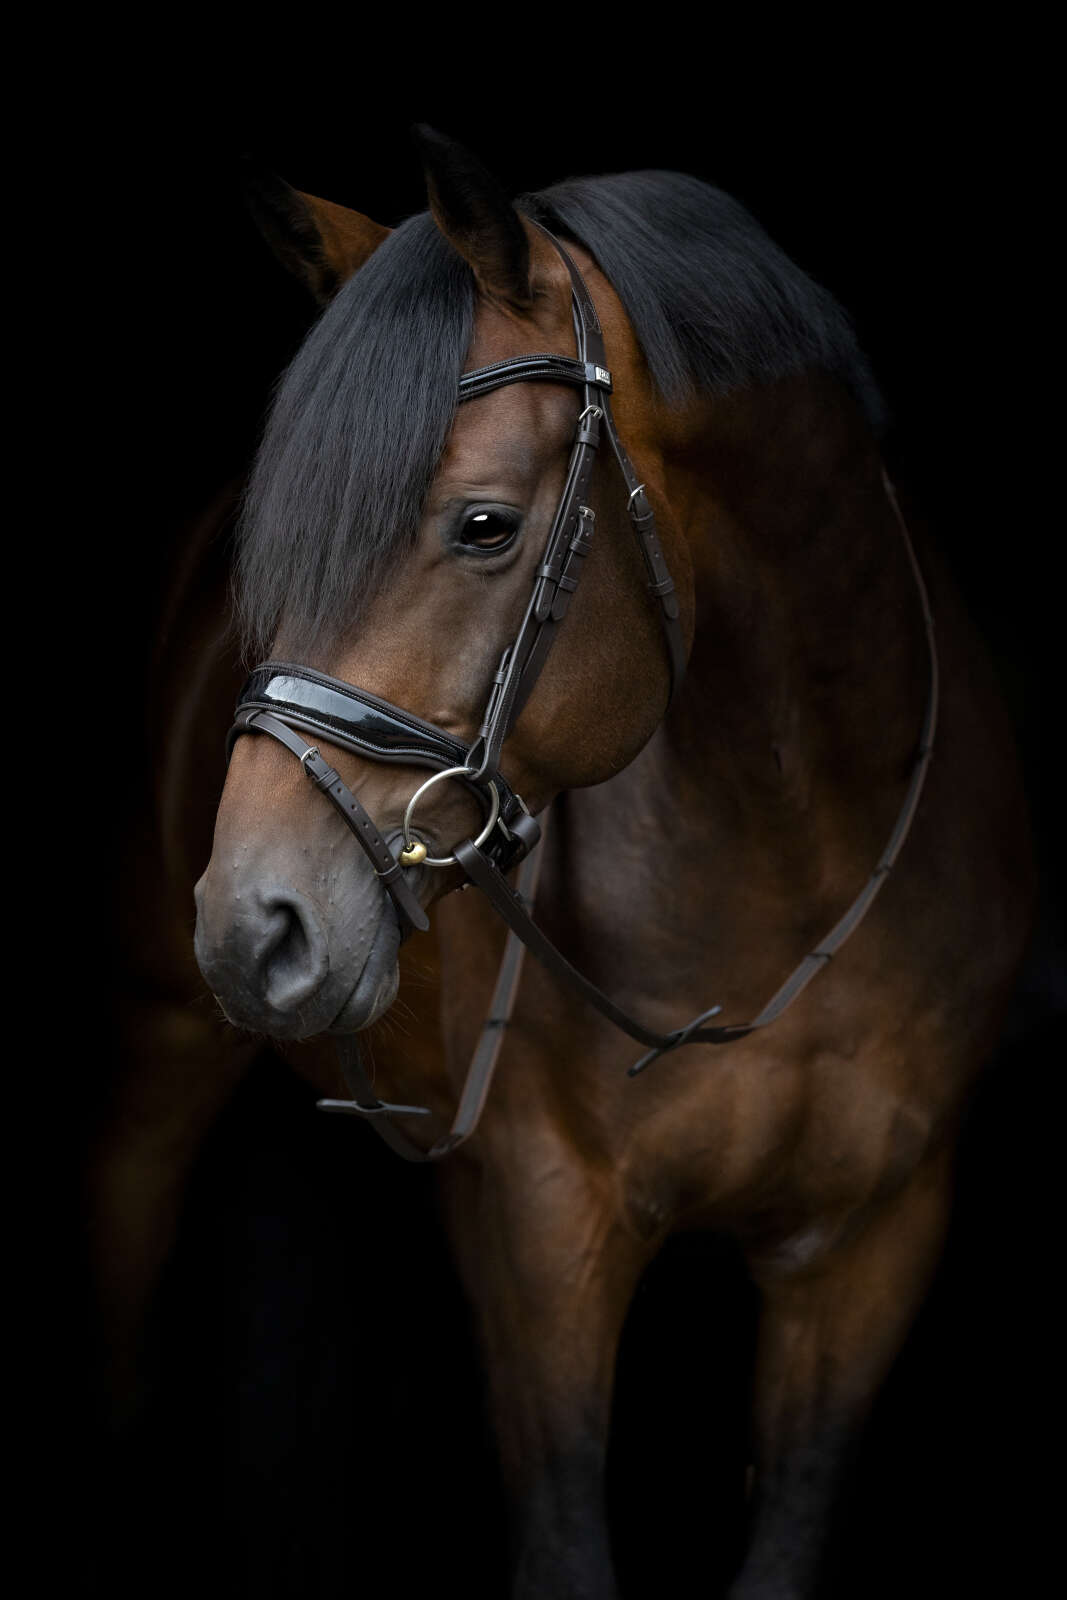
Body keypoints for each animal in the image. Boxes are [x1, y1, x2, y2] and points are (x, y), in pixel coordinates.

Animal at [181, 128, 1032, 1598]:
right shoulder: (544, 1231)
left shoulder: (873, 1242)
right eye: (271, 556)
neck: (785, 852)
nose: (253, 926)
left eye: (481, 525)